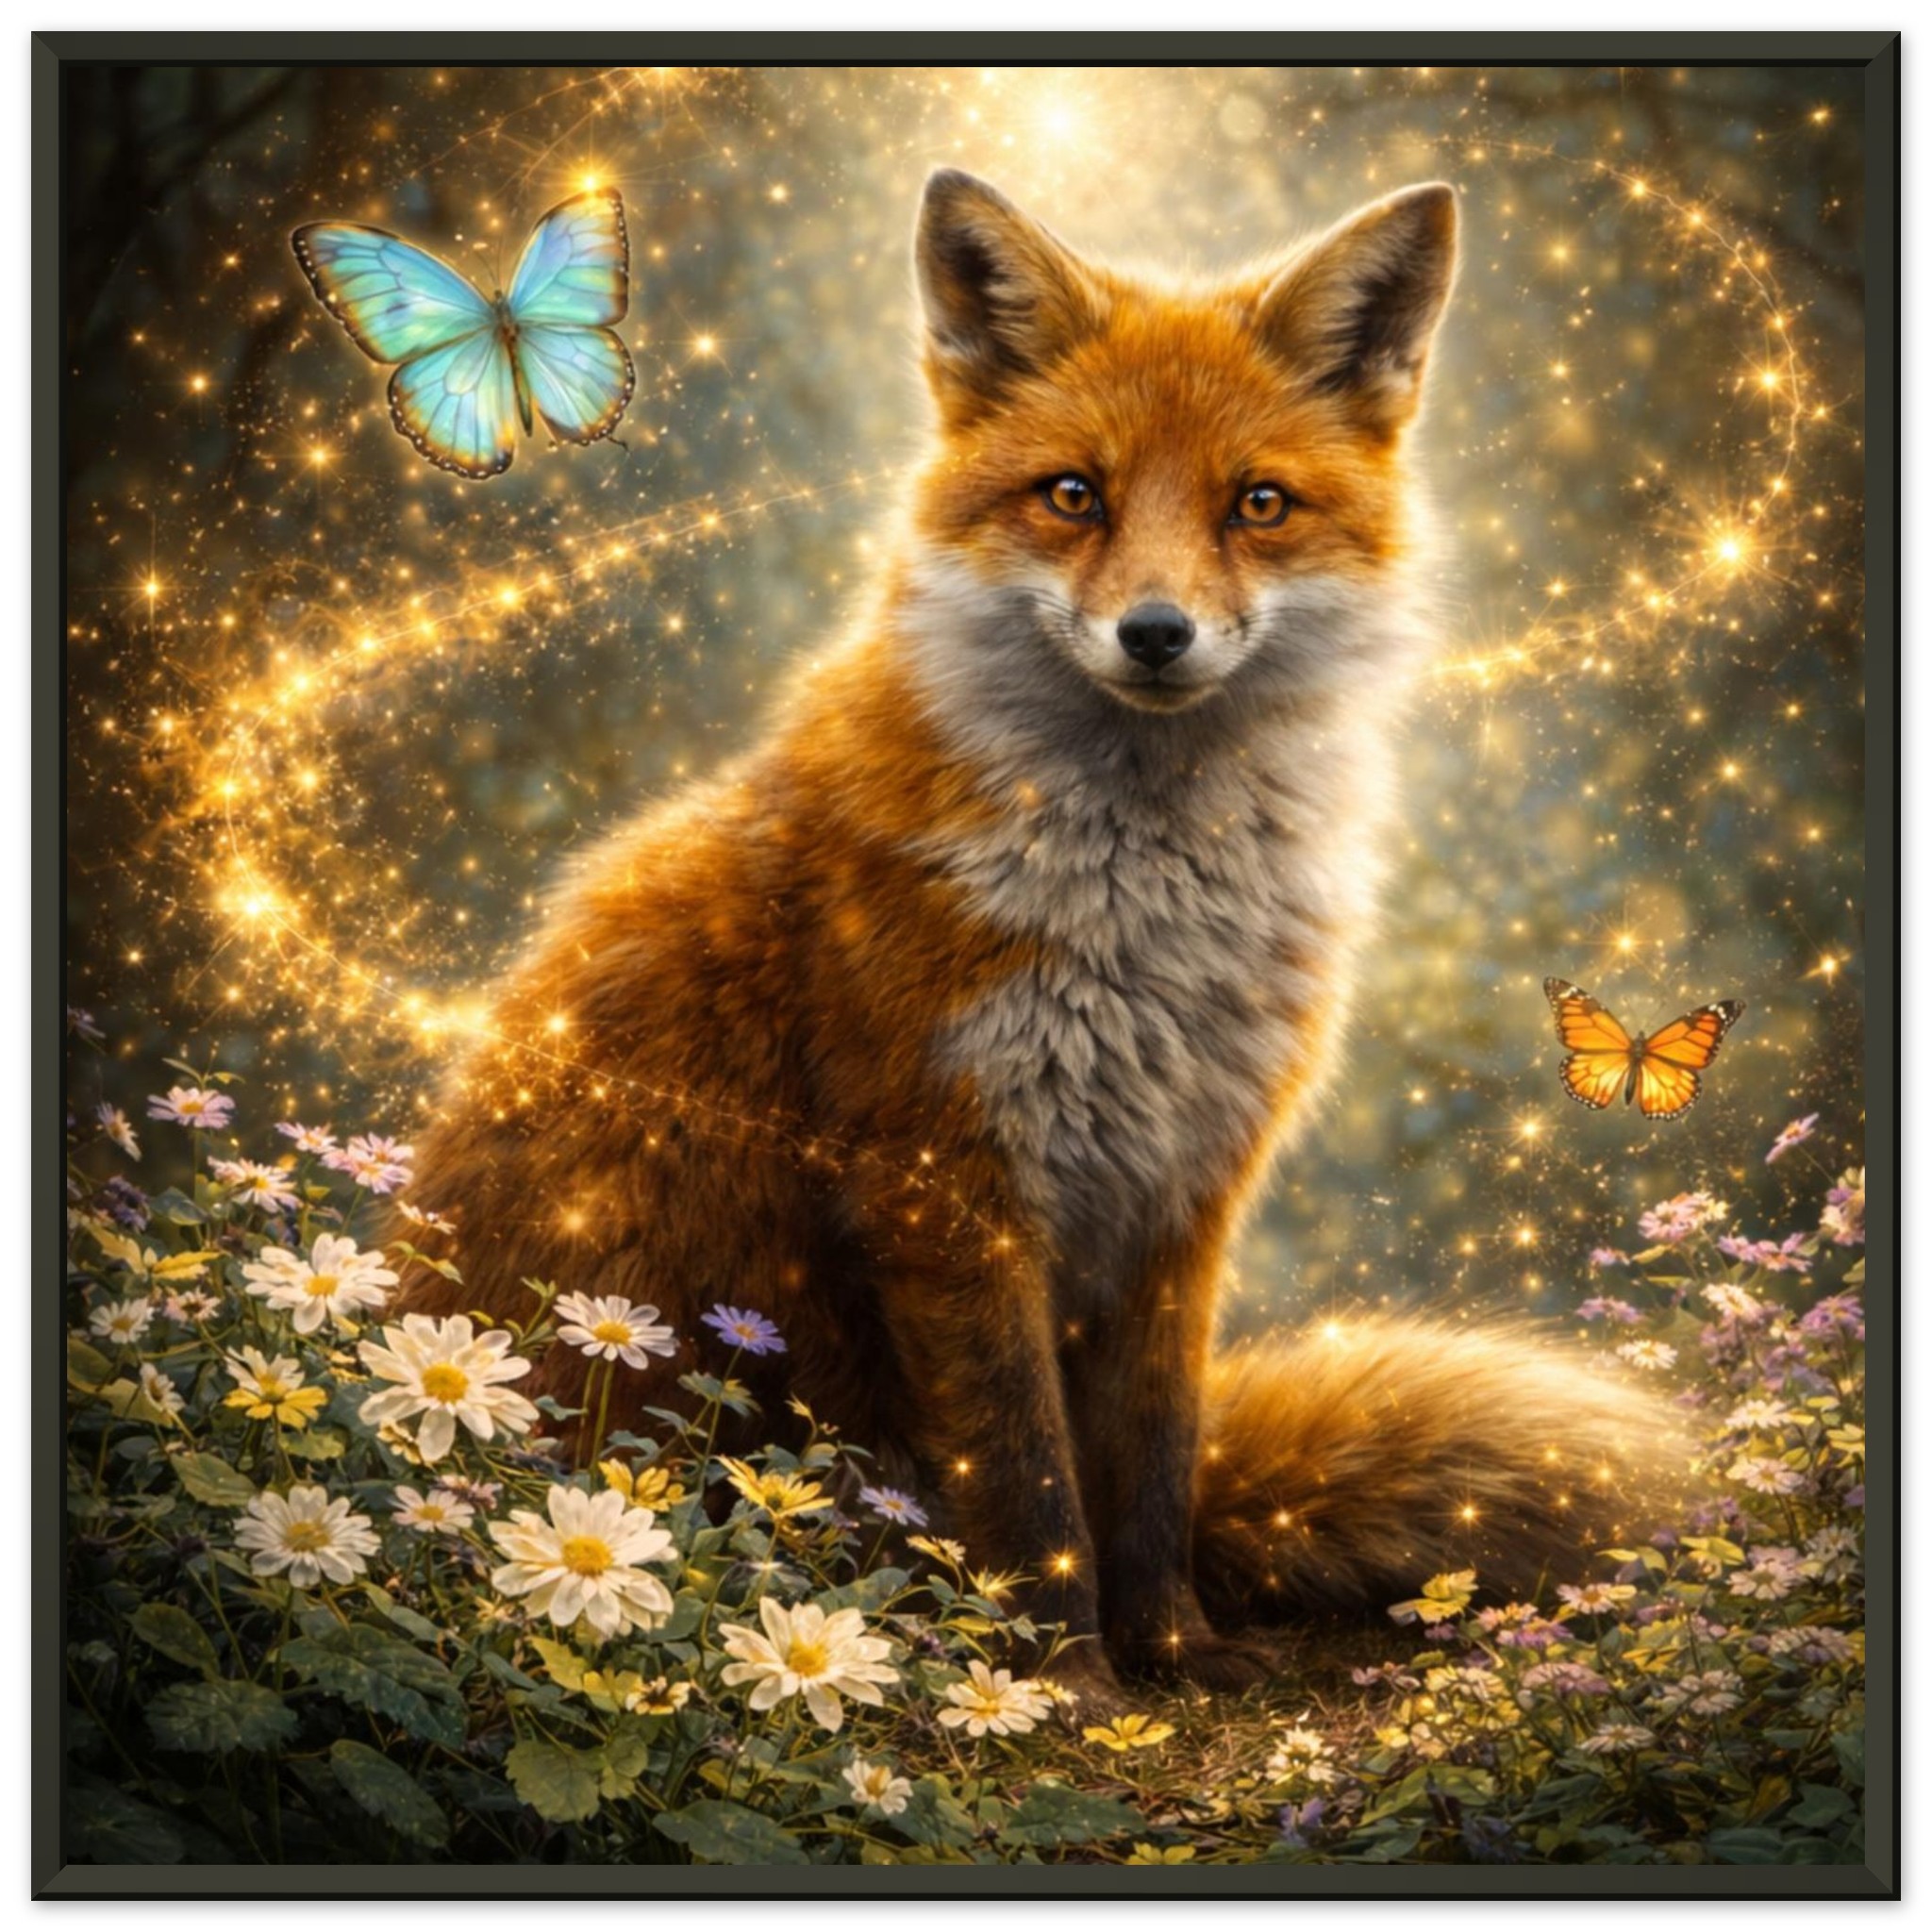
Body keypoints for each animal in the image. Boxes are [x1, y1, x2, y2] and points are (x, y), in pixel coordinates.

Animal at [397, 170, 1682, 1710]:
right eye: (1075, 494)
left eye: (1257, 504)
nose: (1156, 633)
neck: (1152, 925)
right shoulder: (944, 1183)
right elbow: (1028, 1484)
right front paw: (1060, 1688)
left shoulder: (1185, 1187)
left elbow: (1152, 1467)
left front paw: (1175, 1651)